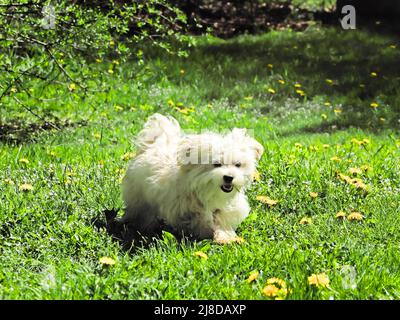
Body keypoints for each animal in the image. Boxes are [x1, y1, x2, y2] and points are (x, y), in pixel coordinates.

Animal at [122, 114, 266, 244]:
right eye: (216, 164)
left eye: (238, 165)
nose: (229, 177)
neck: (209, 191)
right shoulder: (185, 209)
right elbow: (200, 220)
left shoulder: (226, 208)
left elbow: (222, 219)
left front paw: (224, 236)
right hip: (140, 197)